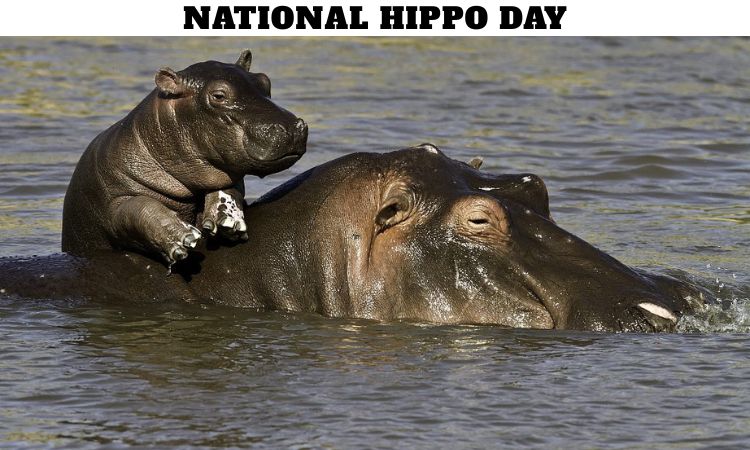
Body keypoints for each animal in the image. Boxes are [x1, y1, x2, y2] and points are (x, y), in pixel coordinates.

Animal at [61, 50, 308, 266]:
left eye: (265, 81)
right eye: (218, 95)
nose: (290, 127)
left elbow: (229, 186)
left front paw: (227, 218)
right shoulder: (112, 205)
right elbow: (138, 207)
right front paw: (183, 237)